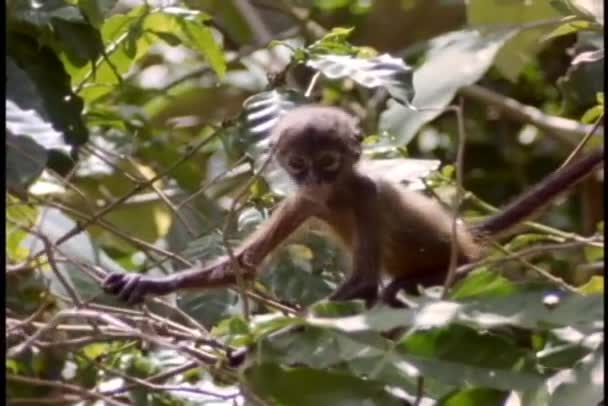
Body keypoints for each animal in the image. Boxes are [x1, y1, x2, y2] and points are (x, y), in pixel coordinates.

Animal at [102, 106, 604, 306]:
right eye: (298, 165)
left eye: (328, 162)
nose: (314, 179)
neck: (338, 194)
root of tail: (465, 235)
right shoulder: (302, 202)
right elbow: (240, 266)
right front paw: (149, 283)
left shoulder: (365, 194)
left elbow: (362, 283)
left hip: (462, 268)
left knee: (393, 289)